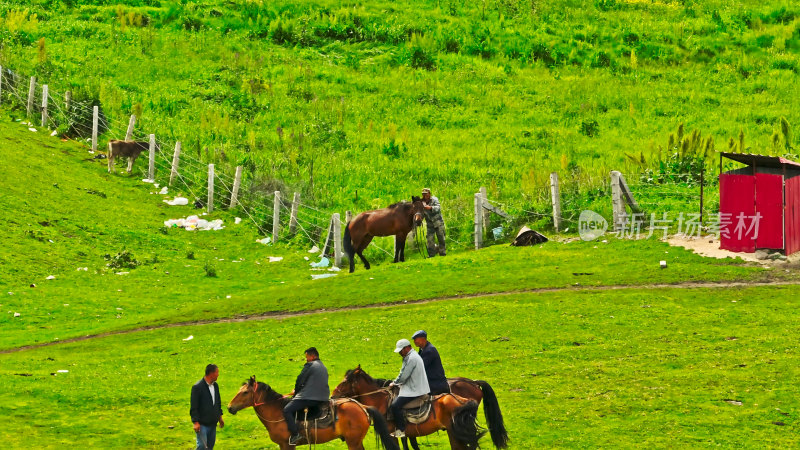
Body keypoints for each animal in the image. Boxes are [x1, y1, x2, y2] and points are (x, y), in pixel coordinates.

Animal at [227, 376, 398, 450]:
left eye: (245, 392)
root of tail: (362, 406)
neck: (278, 413)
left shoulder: (287, 445)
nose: (229, 407)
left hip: (353, 442)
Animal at [330, 366, 488, 450]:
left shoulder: (393, 434)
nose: (333, 396)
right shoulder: (408, 433)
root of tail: (473, 383)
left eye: (344, 382)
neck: (381, 400)